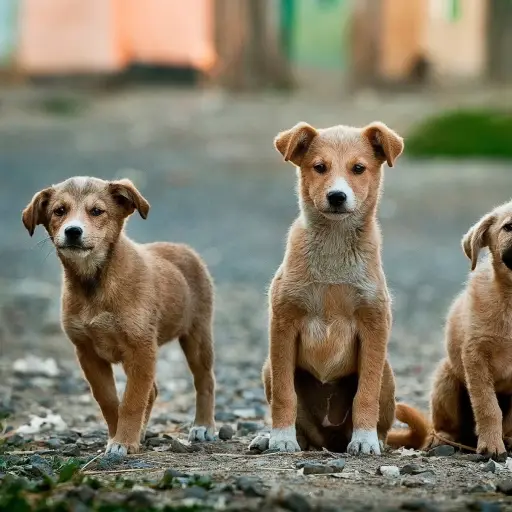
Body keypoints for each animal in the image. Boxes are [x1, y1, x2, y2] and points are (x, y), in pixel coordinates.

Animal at [22, 177, 216, 456]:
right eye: (59, 211)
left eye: (97, 211)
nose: (73, 231)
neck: (95, 283)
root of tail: (184, 249)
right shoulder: (88, 352)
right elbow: (109, 400)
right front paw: (119, 437)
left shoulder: (141, 348)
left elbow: (132, 400)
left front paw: (123, 441)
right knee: (153, 390)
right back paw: (143, 432)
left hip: (197, 336)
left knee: (205, 380)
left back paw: (203, 426)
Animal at [251, 121, 404, 456]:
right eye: (319, 167)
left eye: (358, 168)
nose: (336, 196)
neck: (334, 247)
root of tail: (329, 440)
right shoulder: (283, 323)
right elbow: (285, 394)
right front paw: (280, 437)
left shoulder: (374, 324)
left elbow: (366, 394)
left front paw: (364, 439)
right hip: (268, 367)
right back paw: (272, 437)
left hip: (387, 373)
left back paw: (373, 439)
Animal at [388, 201, 512, 460]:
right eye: (508, 227)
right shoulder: (475, 356)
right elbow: (488, 407)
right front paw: (491, 445)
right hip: (446, 379)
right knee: (443, 428)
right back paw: (444, 440)